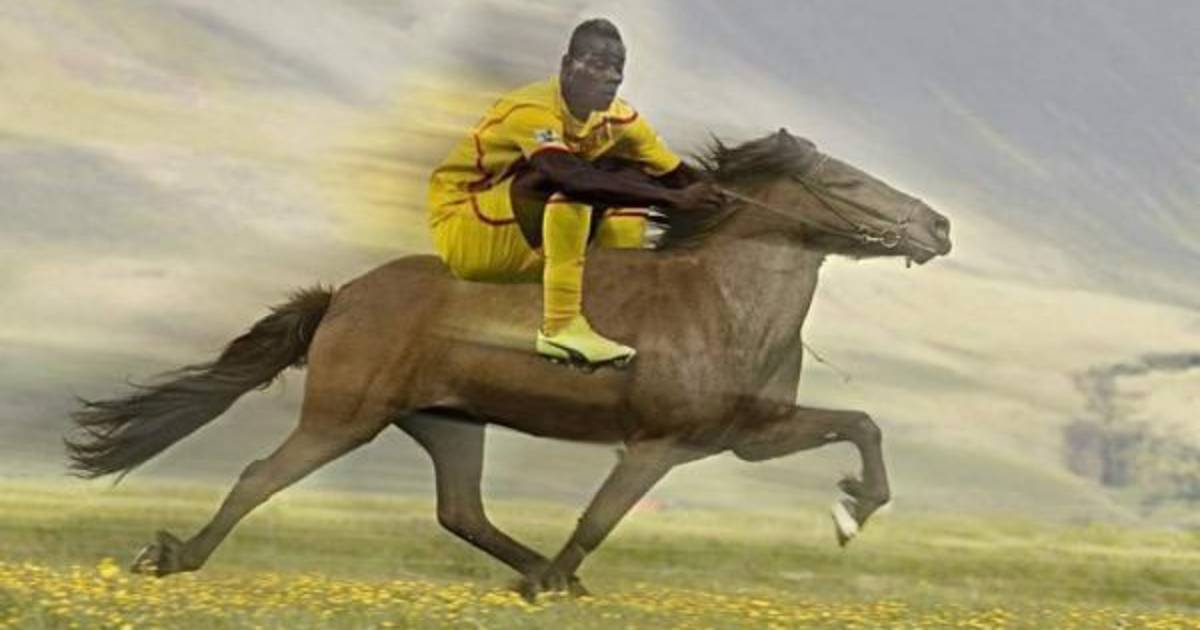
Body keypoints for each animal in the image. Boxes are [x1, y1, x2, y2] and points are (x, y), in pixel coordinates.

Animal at [67, 128, 953, 600]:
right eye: (846, 181)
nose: (939, 225)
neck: (724, 304)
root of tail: (344, 294)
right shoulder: (658, 445)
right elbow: (597, 520)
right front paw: (555, 577)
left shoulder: (747, 435)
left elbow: (862, 426)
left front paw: (852, 509)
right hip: (345, 416)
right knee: (260, 476)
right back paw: (173, 556)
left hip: (450, 423)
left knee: (462, 512)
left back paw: (542, 577)